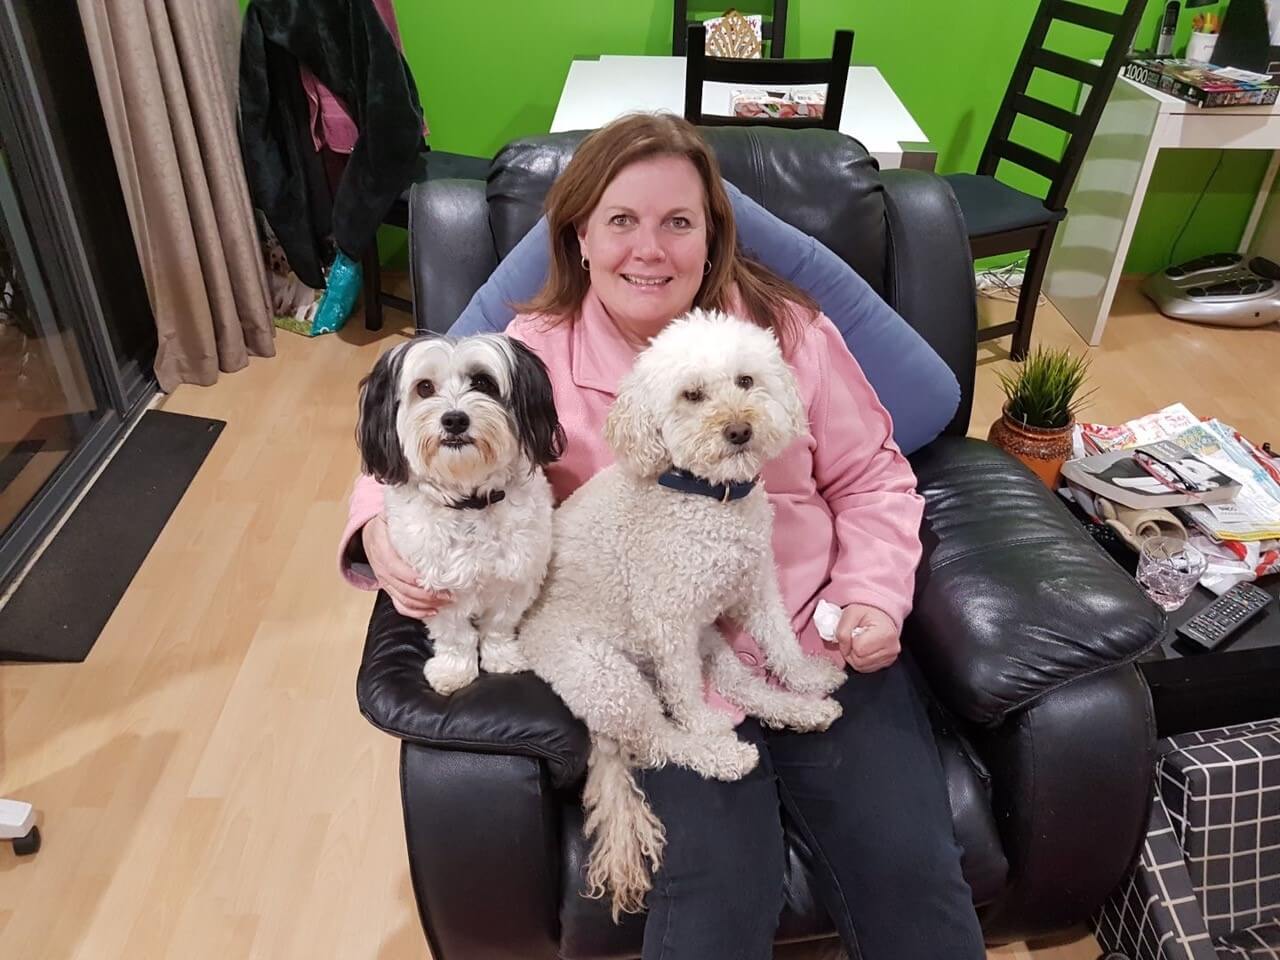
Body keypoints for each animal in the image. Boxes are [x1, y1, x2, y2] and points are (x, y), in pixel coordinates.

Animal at [358, 335, 563, 696]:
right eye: (424, 387)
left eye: (483, 383)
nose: (454, 419)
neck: (470, 502)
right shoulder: (436, 591)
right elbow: (455, 636)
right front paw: (453, 671)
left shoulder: (516, 579)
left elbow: (498, 624)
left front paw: (502, 658)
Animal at [519, 312, 849, 921]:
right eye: (691, 395)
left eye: (745, 380)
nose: (738, 431)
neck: (707, 498)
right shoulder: (668, 621)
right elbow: (686, 702)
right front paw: (704, 729)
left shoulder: (754, 584)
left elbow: (781, 641)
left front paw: (804, 675)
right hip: (608, 677)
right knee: (658, 737)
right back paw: (719, 750)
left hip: (706, 643)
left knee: (740, 686)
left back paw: (801, 708)